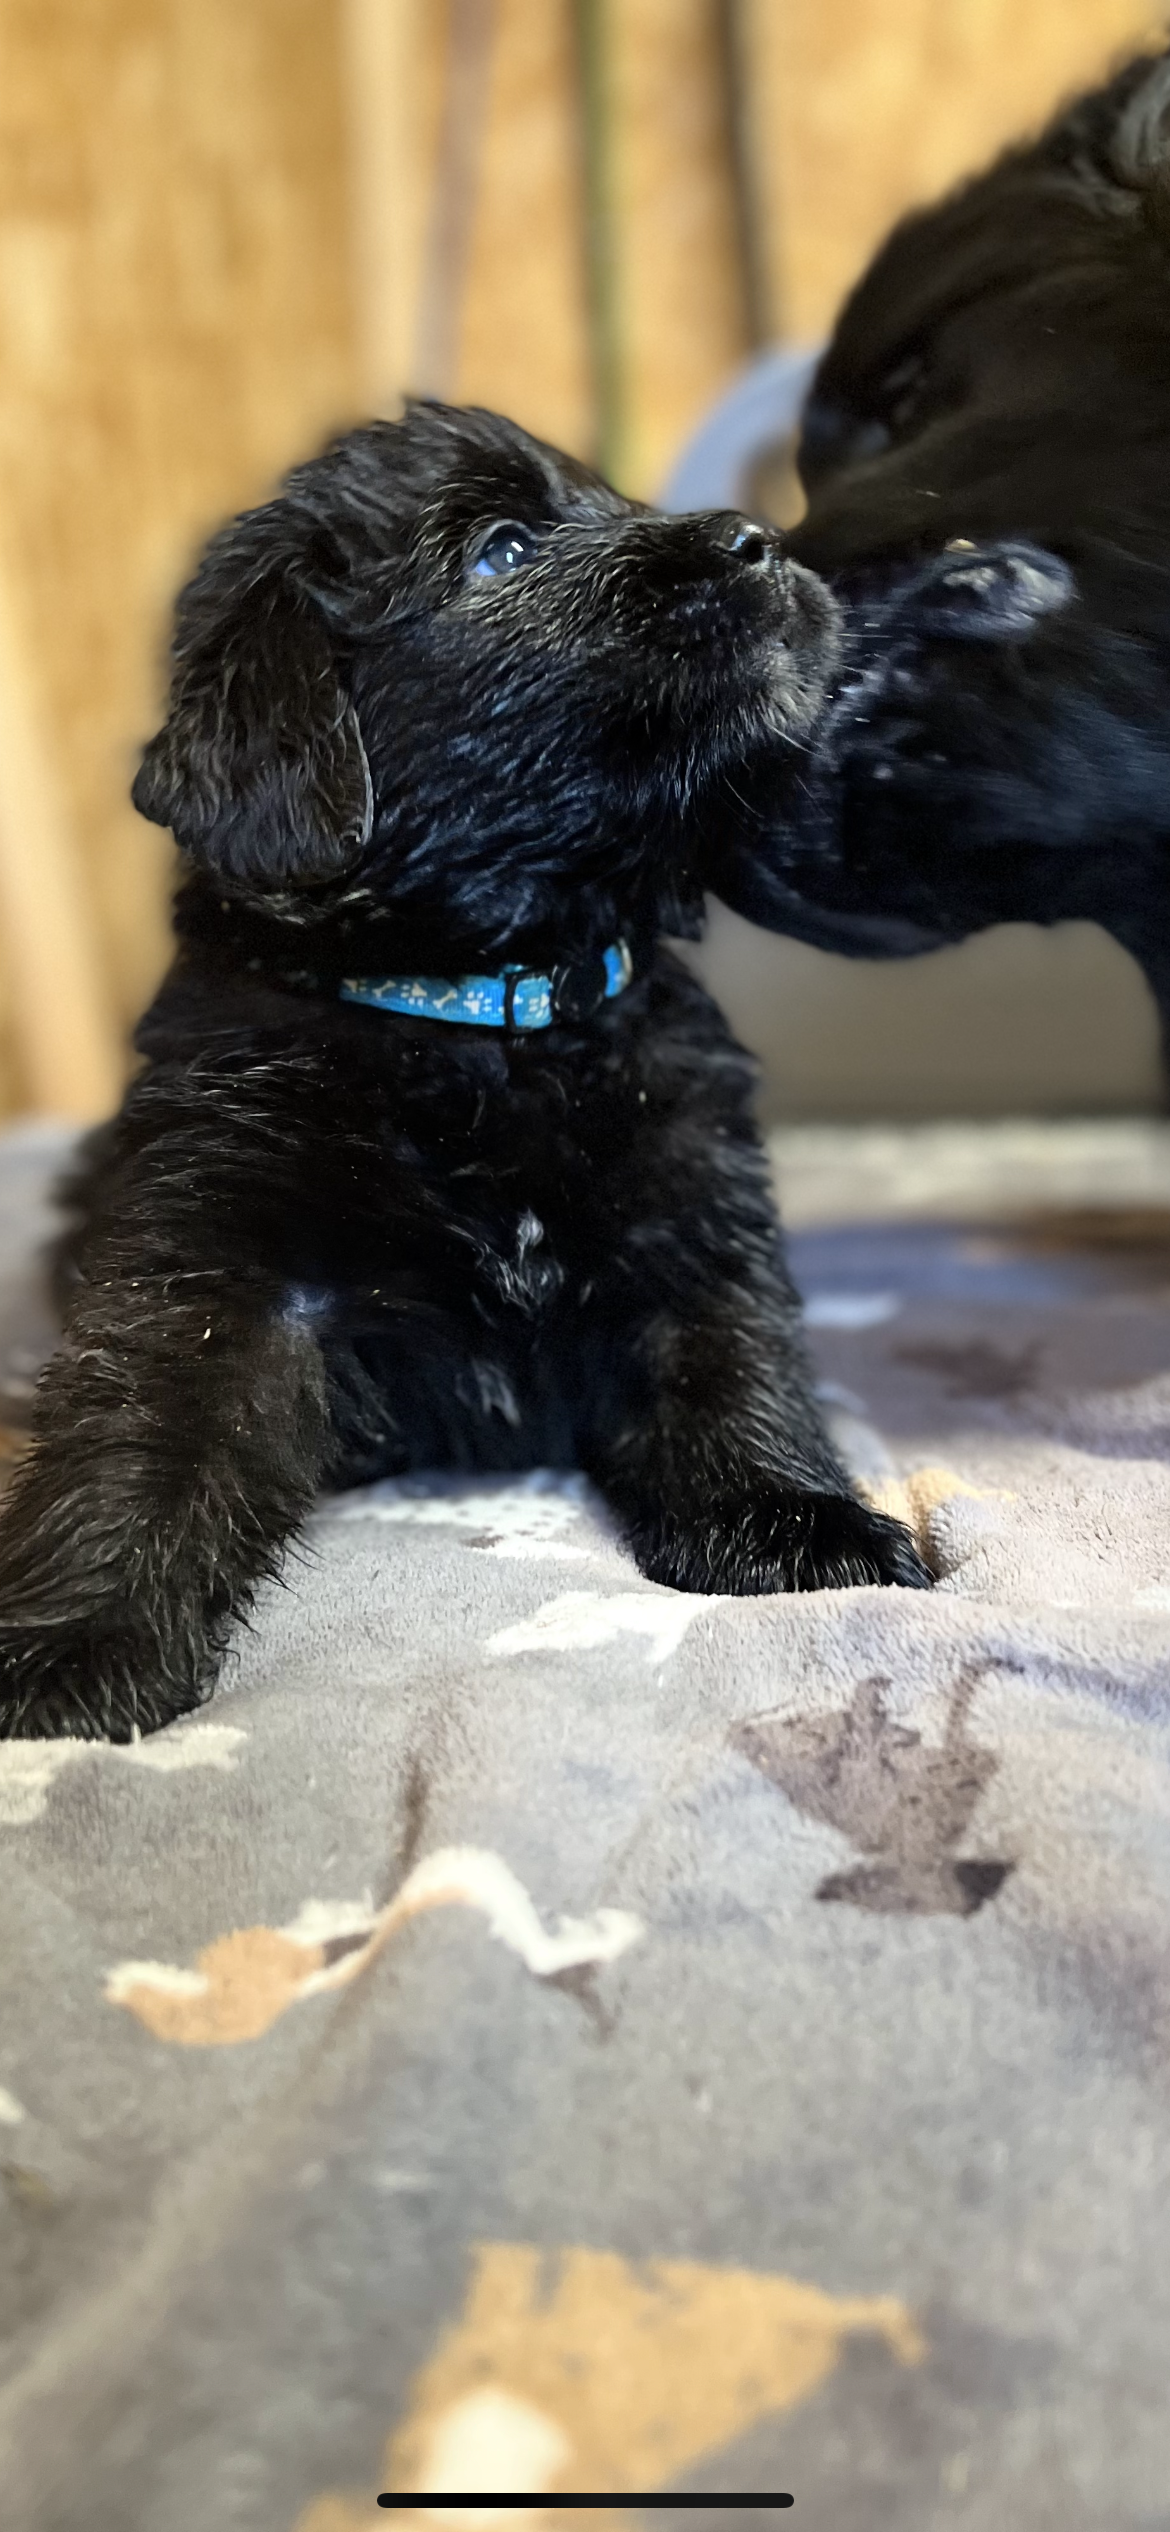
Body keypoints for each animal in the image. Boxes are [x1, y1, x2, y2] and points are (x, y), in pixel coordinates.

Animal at [0, 405, 931, 1742]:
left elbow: (733, 1360)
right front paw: (75, 1642)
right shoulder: (215, 1251)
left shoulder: (691, 1209)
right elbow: (141, 1424)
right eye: (499, 551)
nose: (759, 540)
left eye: (610, 504)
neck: (493, 1019)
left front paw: (797, 1523)